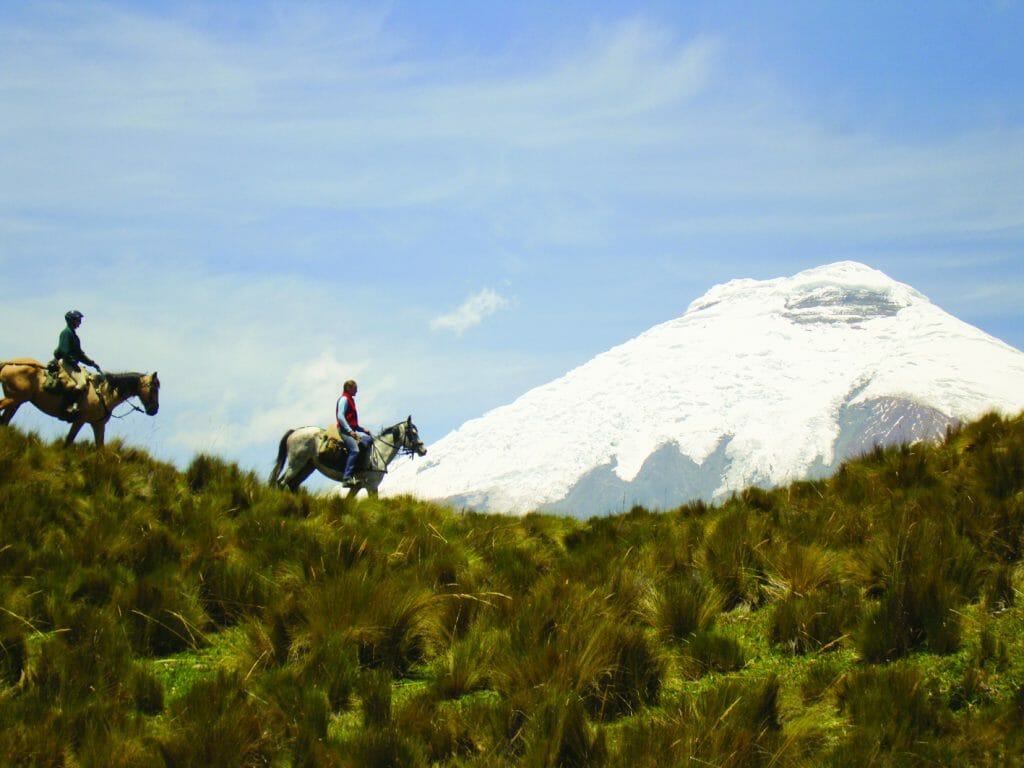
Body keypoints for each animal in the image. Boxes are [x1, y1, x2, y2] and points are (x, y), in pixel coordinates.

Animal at [0, 360, 159, 448]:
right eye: (153, 388)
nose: (154, 410)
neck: (103, 394)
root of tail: (10, 363)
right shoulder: (80, 421)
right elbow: (68, 441)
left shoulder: (98, 425)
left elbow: (100, 449)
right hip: (15, 399)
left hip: (16, 402)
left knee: (5, 421)